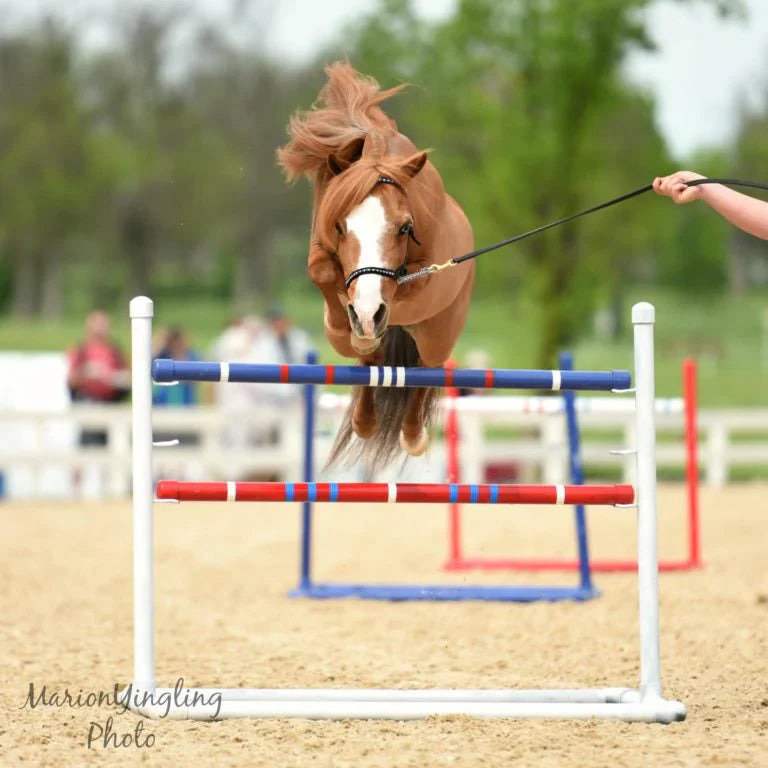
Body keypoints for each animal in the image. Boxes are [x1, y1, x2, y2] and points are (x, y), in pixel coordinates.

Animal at [277, 62, 474, 469]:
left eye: (405, 228)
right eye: (340, 227)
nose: (368, 314)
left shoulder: (421, 280)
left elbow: (406, 284)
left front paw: (368, 315)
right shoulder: (322, 247)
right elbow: (322, 272)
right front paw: (348, 322)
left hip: (437, 337)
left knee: (424, 371)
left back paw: (412, 434)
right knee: (377, 365)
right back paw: (365, 414)